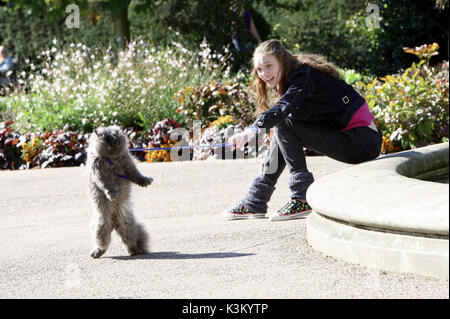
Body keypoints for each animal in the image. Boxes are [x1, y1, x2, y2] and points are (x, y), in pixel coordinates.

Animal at [86, 126, 153, 258]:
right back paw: (97, 252)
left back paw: (135, 250)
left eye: (117, 144)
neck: (112, 160)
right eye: (109, 146)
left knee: (130, 239)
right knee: (102, 242)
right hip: (101, 224)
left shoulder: (128, 165)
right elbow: (107, 185)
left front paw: (145, 181)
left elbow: (137, 175)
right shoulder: (99, 173)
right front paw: (112, 194)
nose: (114, 151)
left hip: (127, 224)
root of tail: (113, 223)